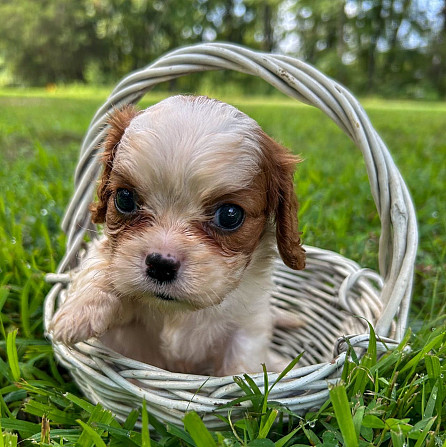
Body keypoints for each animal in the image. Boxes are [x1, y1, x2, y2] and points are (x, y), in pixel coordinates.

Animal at [50, 96, 304, 376]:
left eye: (229, 215)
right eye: (124, 198)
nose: (161, 265)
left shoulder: (247, 329)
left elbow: (240, 369)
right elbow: (101, 258)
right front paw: (78, 311)